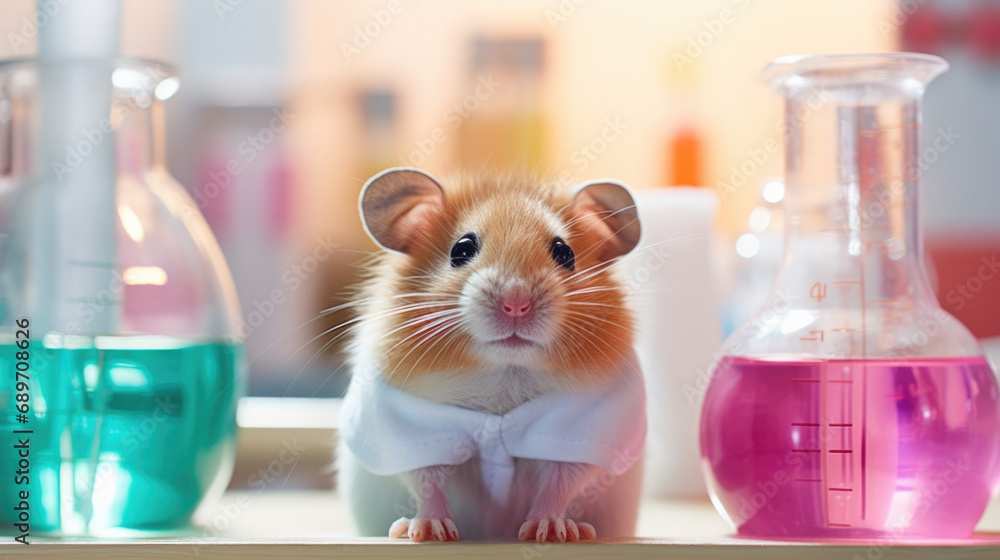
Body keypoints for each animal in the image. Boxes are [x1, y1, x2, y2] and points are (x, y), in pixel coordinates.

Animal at [338, 167, 648, 544]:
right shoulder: (406, 427)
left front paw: (548, 531)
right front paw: (429, 532)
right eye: (461, 249)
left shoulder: (584, 426)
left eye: (565, 254)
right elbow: (426, 481)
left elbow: (560, 482)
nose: (516, 304)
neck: (504, 374)